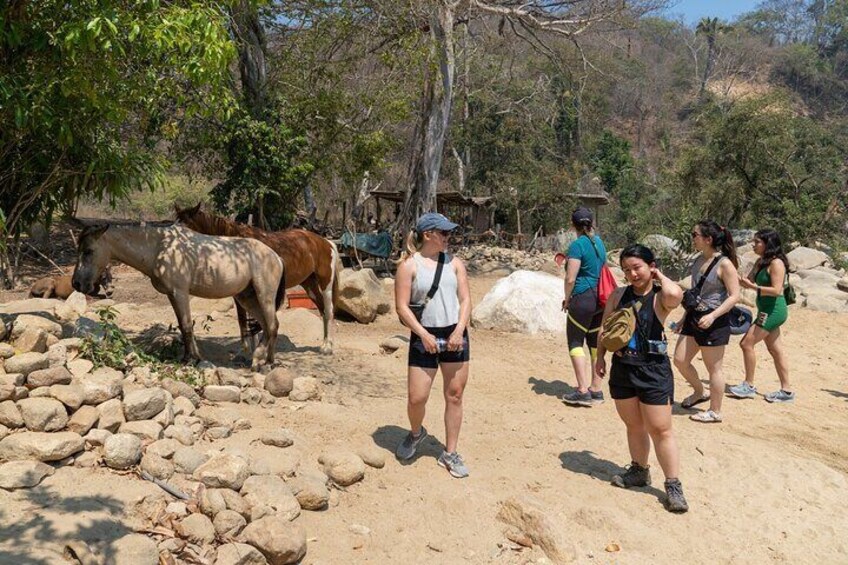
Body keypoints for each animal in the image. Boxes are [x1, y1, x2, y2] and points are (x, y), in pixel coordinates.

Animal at [73, 220, 284, 370]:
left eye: (88, 251)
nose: (76, 283)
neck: (159, 247)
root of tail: (276, 256)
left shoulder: (180, 293)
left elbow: (187, 326)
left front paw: (190, 360)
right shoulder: (172, 295)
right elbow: (183, 327)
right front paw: (192, 357)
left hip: (264, 296)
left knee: (272, 325)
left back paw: (266, 362)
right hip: (247, 298)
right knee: (267, 326)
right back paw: (262, 360)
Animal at [174, 203, 340, 352]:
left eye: (185, 229)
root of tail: (326, 242)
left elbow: (249, 319)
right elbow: (246, 319)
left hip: (325, 283)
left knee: (329, 310)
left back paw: (328, 347)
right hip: (309, 284)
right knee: (322, 310)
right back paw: (324, 344)